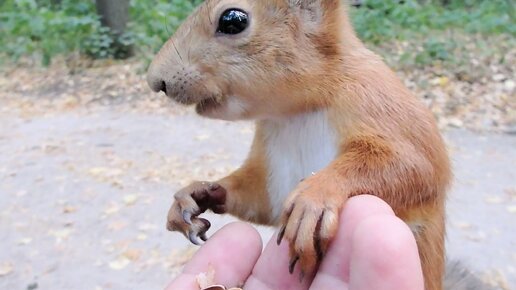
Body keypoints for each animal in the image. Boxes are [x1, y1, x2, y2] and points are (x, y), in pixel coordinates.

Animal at [145, 0, 488, 290]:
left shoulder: (382, 105)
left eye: (233, 20)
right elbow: (261, 198)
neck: (298, 112)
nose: (155, 81)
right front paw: (197, 193)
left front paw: (315, 197)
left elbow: (418, 166)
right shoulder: (273, 160)